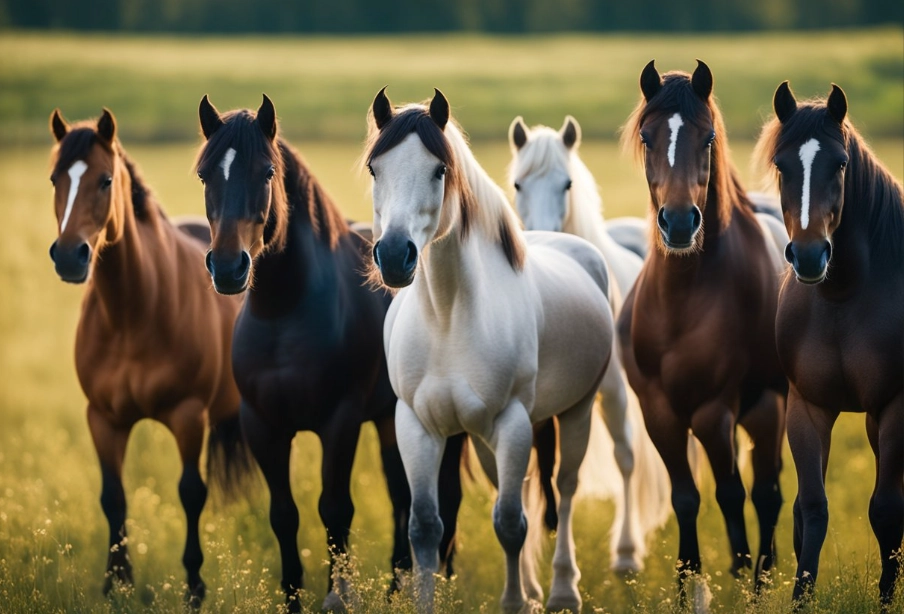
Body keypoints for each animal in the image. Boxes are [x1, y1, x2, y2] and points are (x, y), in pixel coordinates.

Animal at [47, 108, 253, 607]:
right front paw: (116, 584)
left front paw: (195, 588)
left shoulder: (188, 416)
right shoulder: (103, 419)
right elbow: (113, 497)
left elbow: (191, 493)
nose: (69, 257)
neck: (132, 315)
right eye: (54, 179)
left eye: (104, 180)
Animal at [194, 95, 464, 612]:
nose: (228, 267)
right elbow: (284, 514)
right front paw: (293, 599)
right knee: (400, 495)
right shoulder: (263, 426)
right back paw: (395, 588)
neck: (284, 314)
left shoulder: (339, 422)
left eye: (266, 172)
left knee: (448, 495)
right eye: (204, 175)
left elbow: (335, 511)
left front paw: (339, 596)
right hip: (389, 420)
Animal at [365, 87, 615, 614]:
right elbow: (426, 528)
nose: (395, 256)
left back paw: (562, 590)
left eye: (439, 170)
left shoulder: (513, 422)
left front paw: (516, 602)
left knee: (564, 490)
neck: (448, 317)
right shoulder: (417, 427)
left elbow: (510, 525)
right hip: (484, 441)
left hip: (575, 413)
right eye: (376, 169)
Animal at [617, 60, 789, 601]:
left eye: (708, 137)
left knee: (767, 491)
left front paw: (744, 576)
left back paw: (762, 573)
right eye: (647, 137)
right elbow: (686, 498)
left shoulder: (717, 409)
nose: (677, 223)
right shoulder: (660, 412)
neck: (683, 298)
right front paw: (686, 582)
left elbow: (734, 493)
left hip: (767, 407)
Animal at [755, 81, 904, 606]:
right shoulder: (808, 406)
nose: (809, 255)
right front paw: (801, 597)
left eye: (839, 164)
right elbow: (812, 508)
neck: (844, 295)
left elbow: (885, 510)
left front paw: (885, 601)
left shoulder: (895, 405)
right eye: (782, 164)